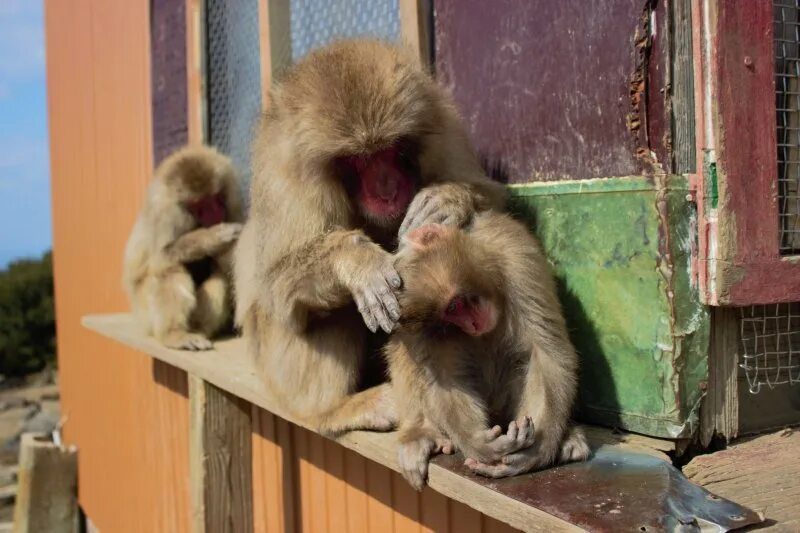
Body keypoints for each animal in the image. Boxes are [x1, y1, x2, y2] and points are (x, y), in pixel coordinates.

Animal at [123, 144, 244, 350]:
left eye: (214, 198)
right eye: (199, 205)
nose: (214, 214)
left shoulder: (233, 200)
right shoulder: (167, 213)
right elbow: (159, 257)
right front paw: (214, 236)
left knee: (219, 275)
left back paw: (198, 329)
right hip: (144, 312)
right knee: (169, 270)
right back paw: (173, 334)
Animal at [234, 39, 504, 434]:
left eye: (389, 150)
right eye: (359, 159)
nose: (387, 188)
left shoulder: (441, 122)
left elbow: (491, 195)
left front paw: (448, 199)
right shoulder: (288, 175)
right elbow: (276, 284)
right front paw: (357, 262)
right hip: (276, 366)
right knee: (334, 308)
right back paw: (332, 410)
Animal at [384, 211, 592, 486]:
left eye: (455, 305)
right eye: (446, 319)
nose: (471, 325)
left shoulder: (517, 255)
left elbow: (546, 353)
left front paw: (533, 454)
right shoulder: (421, 327)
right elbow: (447, 377)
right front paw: (480, 444)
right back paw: (419, 432)